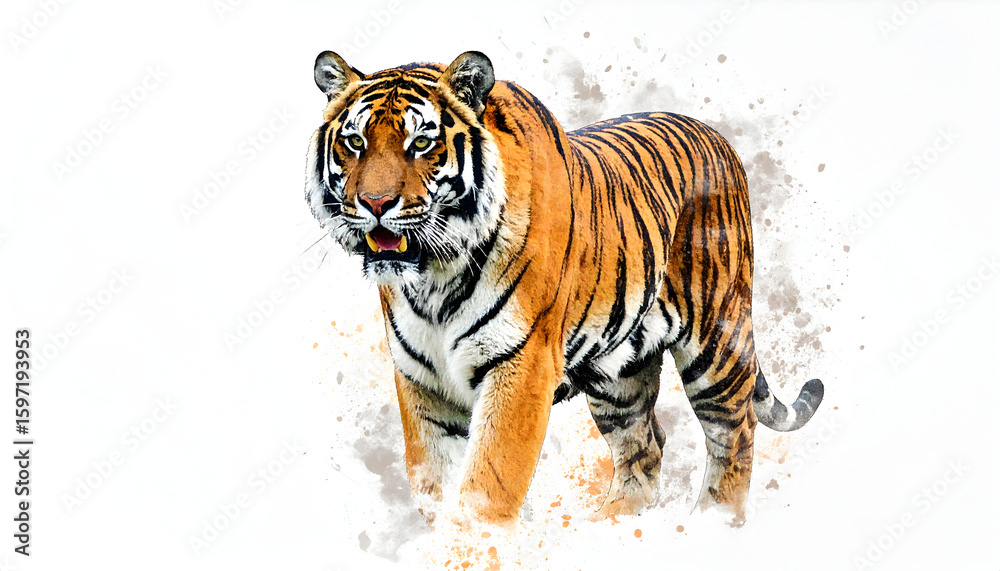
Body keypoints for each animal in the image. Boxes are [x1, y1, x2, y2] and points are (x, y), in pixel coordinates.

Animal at [304, 50, 824, 527]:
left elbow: (486, 491)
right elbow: (435, 487)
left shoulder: (521, 366)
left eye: (421, 143)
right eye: (355, 142)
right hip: (617, 374)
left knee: (734, 435)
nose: (374, 203)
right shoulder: (423, 381)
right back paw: (611, 528)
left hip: (717, 336)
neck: (434, 275)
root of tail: (716, 135)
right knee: (644, 447)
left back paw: (711, 526)